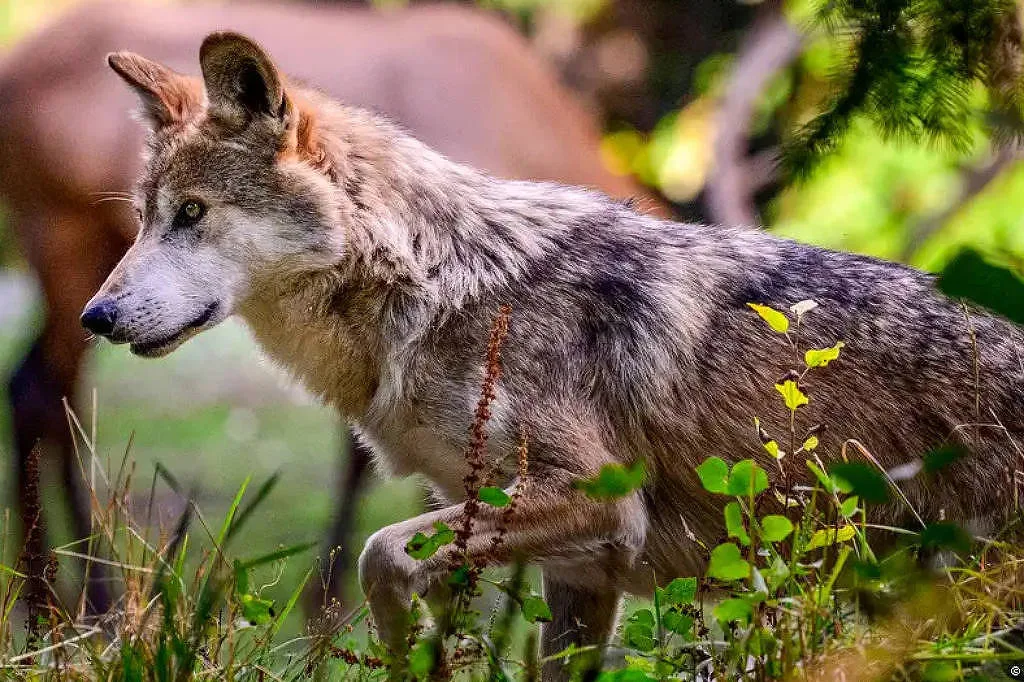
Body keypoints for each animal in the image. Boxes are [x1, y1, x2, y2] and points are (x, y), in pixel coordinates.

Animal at [84, 32, 1023, 679]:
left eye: (193, 214)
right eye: (144, 217)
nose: (96, 315)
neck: (445, 288)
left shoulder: (599, 501)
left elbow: (379, 553)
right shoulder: (586, 574)